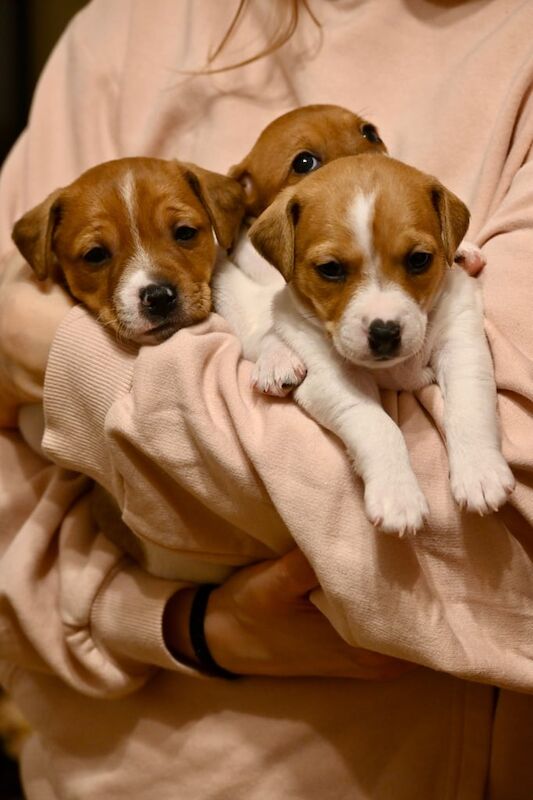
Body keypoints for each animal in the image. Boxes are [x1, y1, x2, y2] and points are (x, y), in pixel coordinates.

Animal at [246, 153, 516, 536]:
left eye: (419, 259)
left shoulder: (462, 344)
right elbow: (376, 424)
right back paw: (276, 362)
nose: (385, 333)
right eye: (330, 268)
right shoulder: (330, 379)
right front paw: (397, 495)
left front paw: (480, 471)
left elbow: (469, 406)